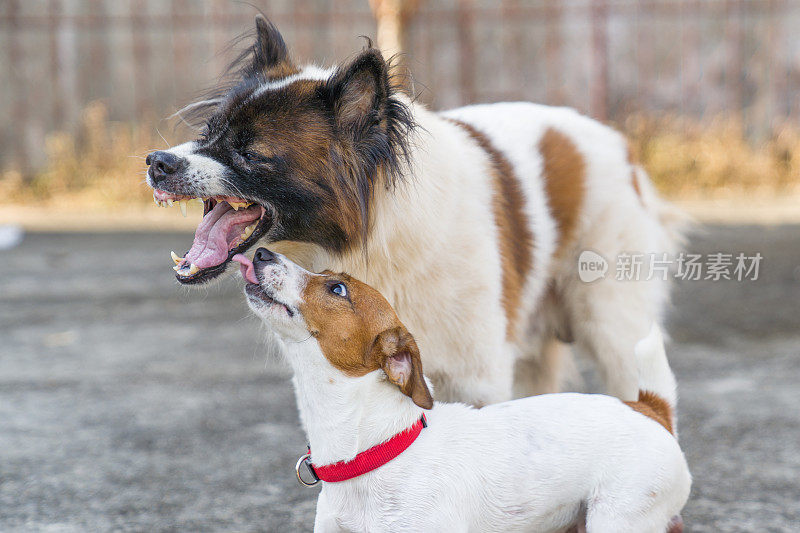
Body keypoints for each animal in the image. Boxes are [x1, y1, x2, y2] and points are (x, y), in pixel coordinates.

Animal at [145, 16, 680, 404]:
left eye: (249, 152)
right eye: (209, 132)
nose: (156, 163)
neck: (372, 240)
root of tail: (620, 145)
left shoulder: (477, 378)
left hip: (615, 331)